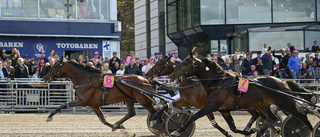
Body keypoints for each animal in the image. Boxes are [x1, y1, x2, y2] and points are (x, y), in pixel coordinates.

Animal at [170, 54, 312, 136]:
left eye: (185, 64)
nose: (172, 75)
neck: (218, 82)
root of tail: (283, 81)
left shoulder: (211, 106)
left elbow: (194, 116)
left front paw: (177, 131)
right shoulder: (224, 110)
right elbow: (232, 127)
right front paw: (248, 131)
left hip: (286, 103)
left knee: (302, 116)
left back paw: (309, 129)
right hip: (263, 105)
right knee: (271, 118)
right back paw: (260, 132)